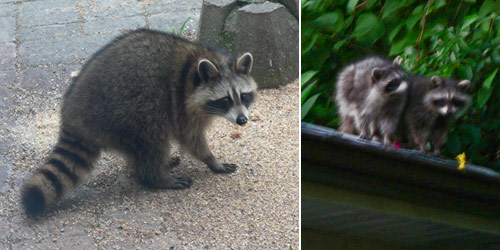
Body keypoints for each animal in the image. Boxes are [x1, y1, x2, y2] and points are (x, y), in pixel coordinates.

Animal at [20, 28, 258, 217]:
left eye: (244, 96)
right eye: (226, 100)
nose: (242, 120)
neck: (202, 61)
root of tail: (73, 113)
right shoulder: (182, 105)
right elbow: (191, 139)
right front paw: (211, 160)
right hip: (128, 109)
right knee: (152, 137)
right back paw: (155, 177)